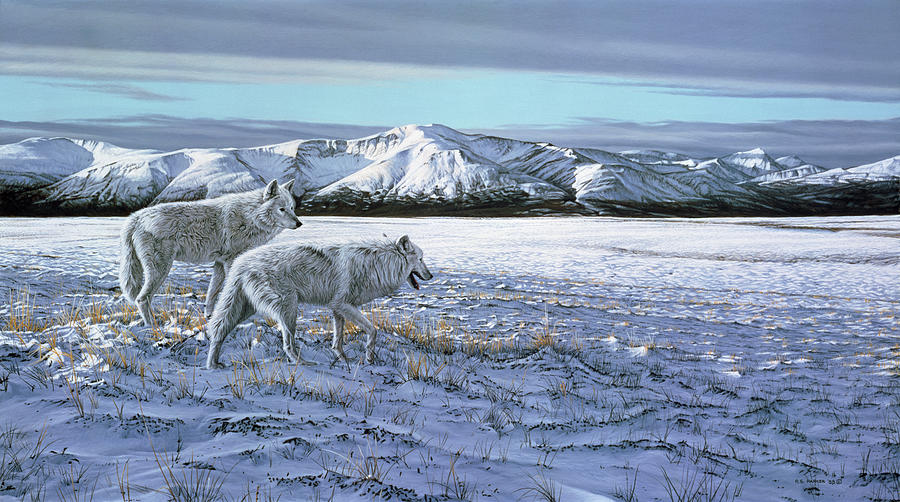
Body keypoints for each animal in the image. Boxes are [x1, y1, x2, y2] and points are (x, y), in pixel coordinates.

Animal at [118, 179, 302, 326]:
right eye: (282, 209)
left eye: (292, 208)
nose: (299, 223)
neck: (251, 217)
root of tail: (136, 217)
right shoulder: (231, 262)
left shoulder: (220, 262)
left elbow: (212, 293)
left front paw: (209, 315)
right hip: (160, 269)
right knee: (142, 298)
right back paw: (153, 326)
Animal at [206, 235, 434, 368]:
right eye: (421, 259)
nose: (431, 275)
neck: (377, 264)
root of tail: (241, 261)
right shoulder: (344, 305)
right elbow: (373, 331)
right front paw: (369, 358)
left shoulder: (337, 308)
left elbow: (338, 339)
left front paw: (343, 359)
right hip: (288, 309)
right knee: (287, 344)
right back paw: (303, 363)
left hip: (245, 308)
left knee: (219, 331)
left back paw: (212, 365)